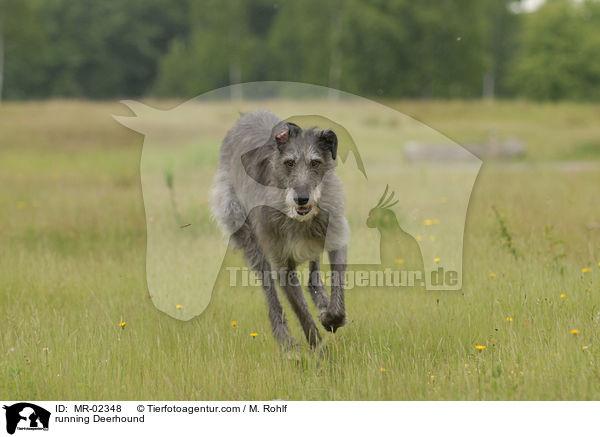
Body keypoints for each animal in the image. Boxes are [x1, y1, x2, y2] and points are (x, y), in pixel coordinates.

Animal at [211, 110, 352, 348]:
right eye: (289, 163)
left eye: (315, 163)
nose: (301, 198)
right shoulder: (282, 262)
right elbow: (302, 313)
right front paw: (319, 352)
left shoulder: (335, 234)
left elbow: (337, 286)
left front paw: (331, 317)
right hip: (242, 226)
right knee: (270, 291)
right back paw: (285, 340)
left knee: (313, 272)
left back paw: (320, 300)